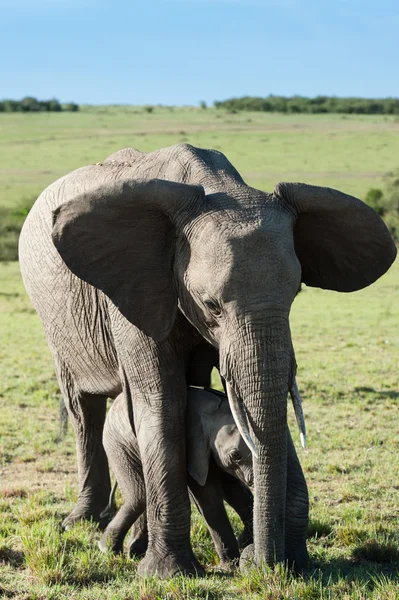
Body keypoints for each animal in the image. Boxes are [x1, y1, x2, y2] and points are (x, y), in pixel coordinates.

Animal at [101, 386, 255, 564]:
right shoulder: (192, 448)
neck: (213, 412)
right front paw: (231, 565)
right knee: (139, 495)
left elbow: (234, 490)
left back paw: (134, 552)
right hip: (119, 443)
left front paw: (246, 543)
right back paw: (107, 548)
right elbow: (208, 498)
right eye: (235, 455)